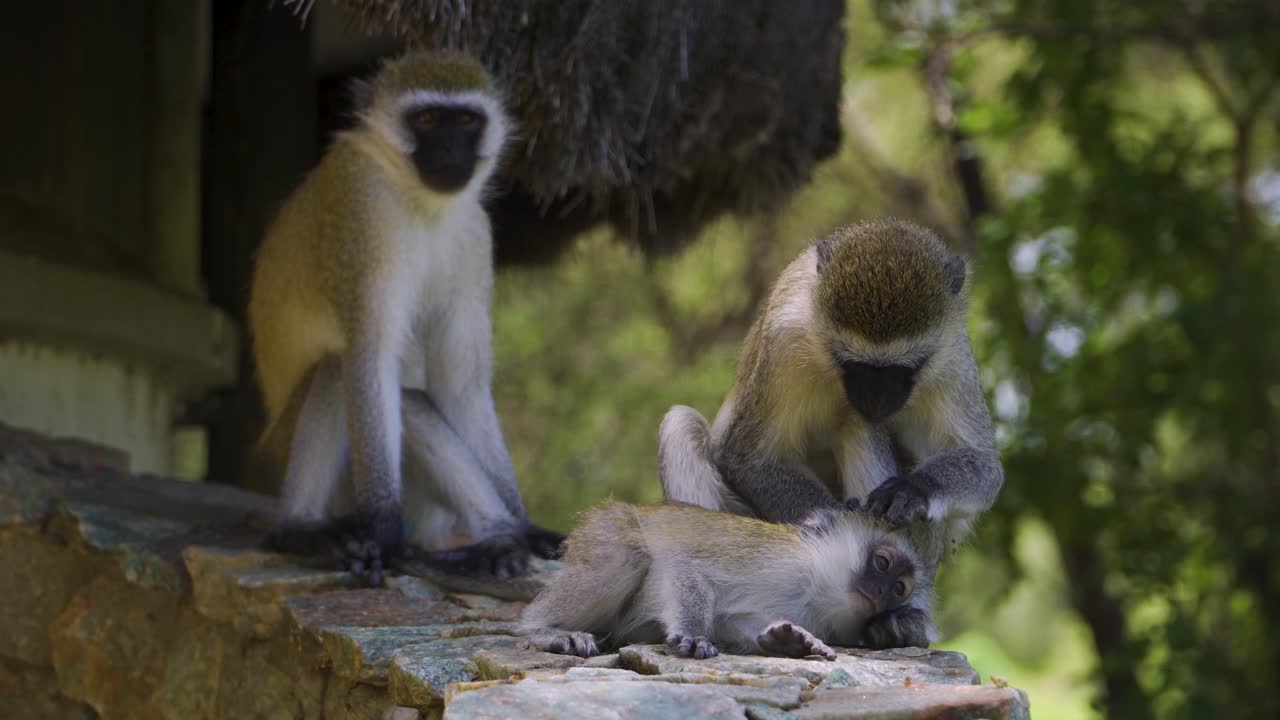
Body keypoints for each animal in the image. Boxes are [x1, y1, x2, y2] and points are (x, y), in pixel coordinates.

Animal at [247, 50, 562, 585]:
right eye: (428, 119)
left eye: (466, 121)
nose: (451, 149)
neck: (419, 200)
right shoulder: (362, 211)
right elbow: (368, 356)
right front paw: (383, 532)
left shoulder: (475, 234)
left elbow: (460, 387)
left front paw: (526, 523)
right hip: (287, 457)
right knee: (340, 369)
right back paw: (300, 528)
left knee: (414, 402)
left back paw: (501, 539)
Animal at [520, 501, 923, 659]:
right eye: (882, 563)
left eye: (899, 589)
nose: (881, 593)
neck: (813, 588)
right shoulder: (772, 558)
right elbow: (685, 565)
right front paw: (695, 634)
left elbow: (734, 623)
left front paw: (789, 641)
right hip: (605, 529)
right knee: (627, 553)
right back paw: (541, 628)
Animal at [656, 218, 1003, 649]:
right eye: (854, 364)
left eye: (903, 368)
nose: (875, 399)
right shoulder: (784, 339)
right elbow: (747, 457)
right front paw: (835, 523)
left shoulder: (953, 356)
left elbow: (984, 466)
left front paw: (913, 489)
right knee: (681, 425)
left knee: (858, 424)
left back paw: (901, 623)